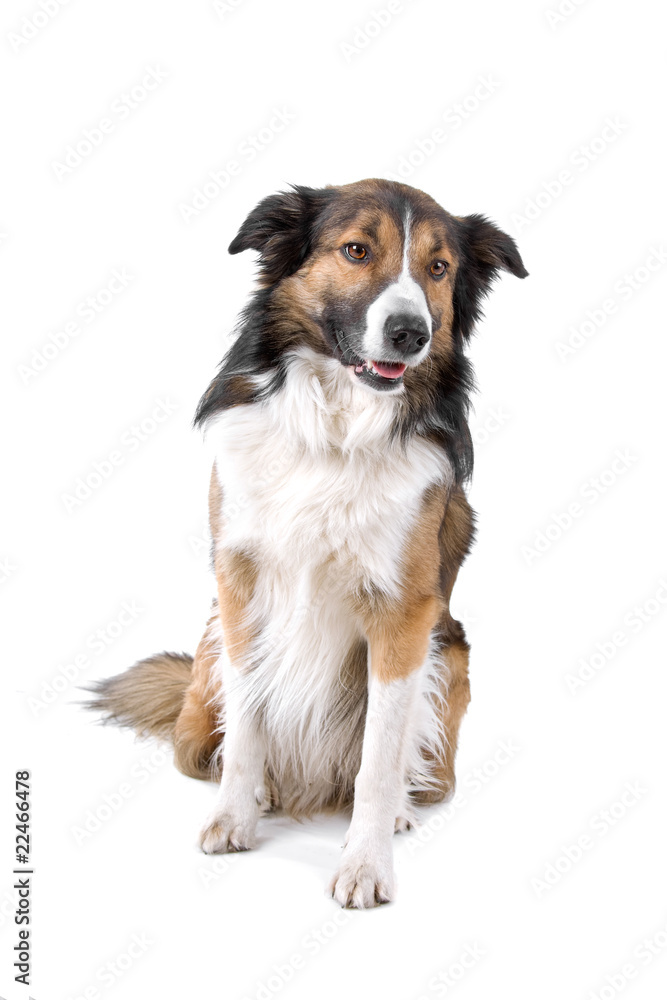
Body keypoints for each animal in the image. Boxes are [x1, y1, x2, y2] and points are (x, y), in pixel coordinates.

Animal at [88, 178, 528, 908]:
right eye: (356, 251)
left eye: (438, 268)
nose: (411, 334)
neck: (337, 426)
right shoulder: (240, 586)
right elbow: (246, 727)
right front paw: (234, 816)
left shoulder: (404, 614)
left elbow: (379, 758)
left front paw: (366, 862)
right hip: (204, 671)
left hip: (451, 652)